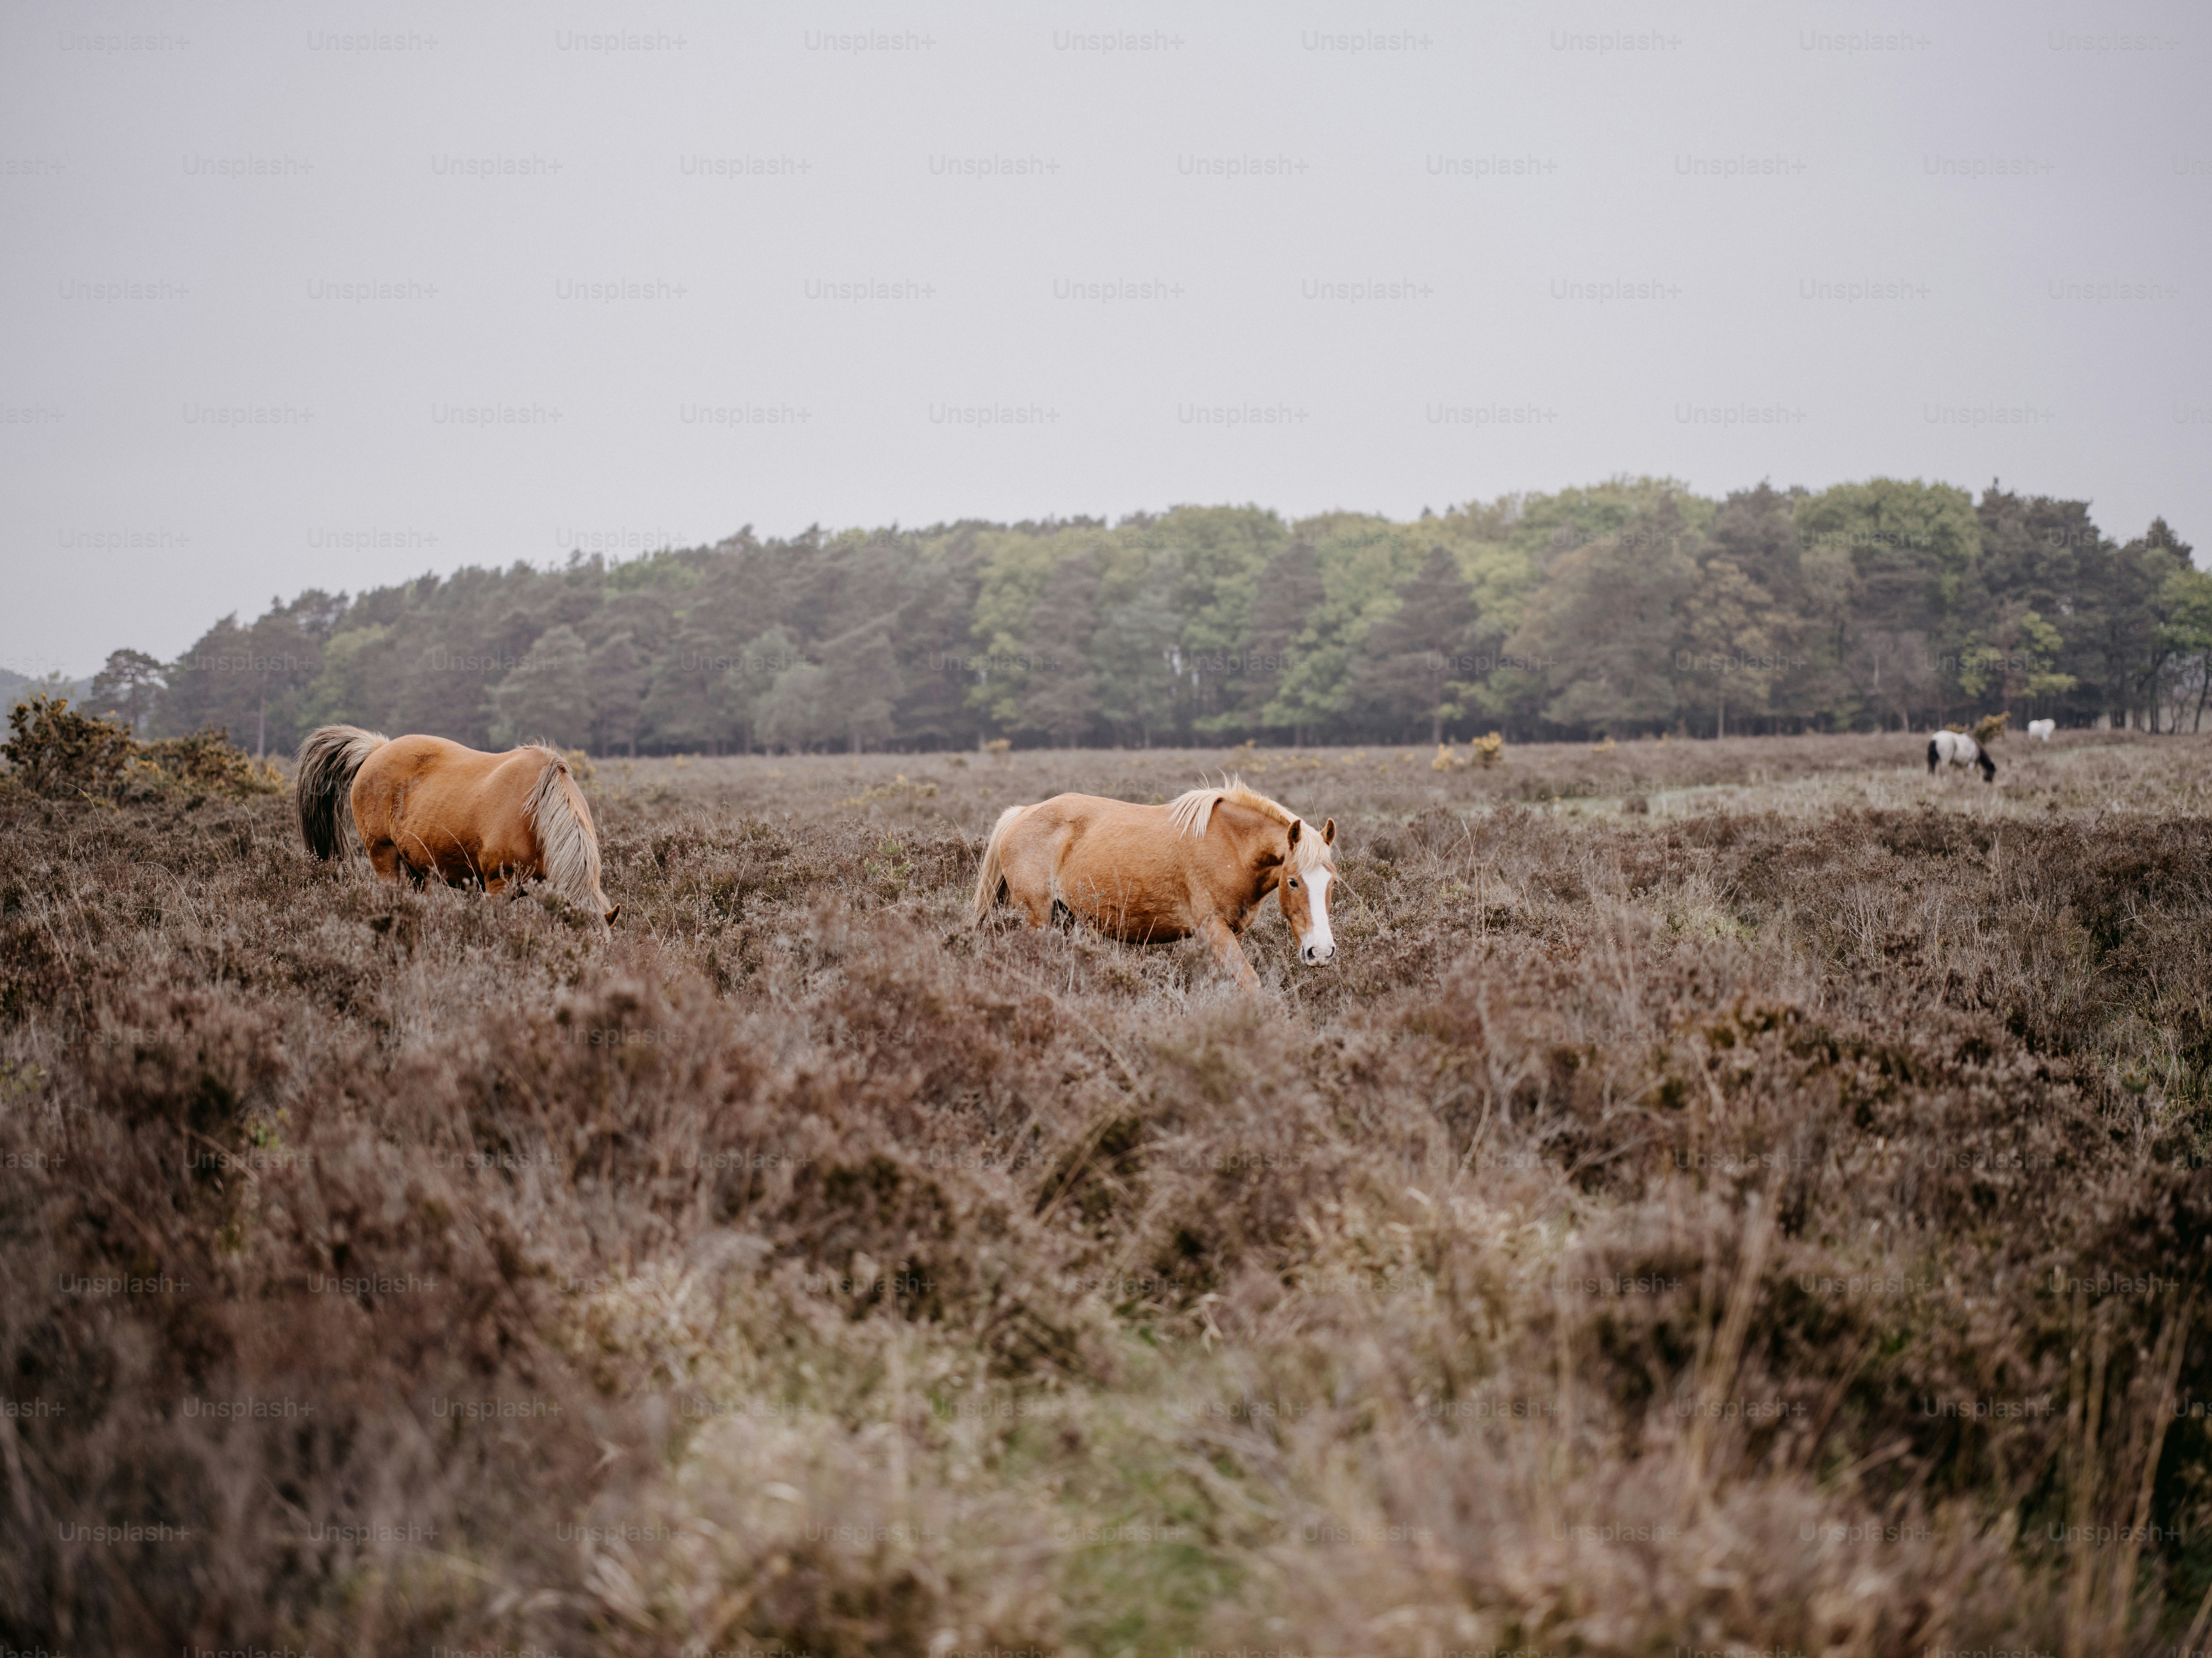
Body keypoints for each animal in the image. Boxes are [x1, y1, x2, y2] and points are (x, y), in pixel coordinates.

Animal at [970, 779, 1337, 992]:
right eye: (1293, 881)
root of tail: (1022, 813)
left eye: (1332, 881)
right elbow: (1249, 981)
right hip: (1037, 917)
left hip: (1066, 918)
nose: (1320, 951)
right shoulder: (1213, 928)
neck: (1232, 844)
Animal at [1927, 729, 1997, 783]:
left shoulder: (1966, 765)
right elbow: (1968, 775)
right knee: (1942, 772)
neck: (1977, 747)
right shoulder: (1971, 763)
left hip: (1932, 760)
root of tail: (1935, 739)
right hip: (1945, 761)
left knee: (1931, 771)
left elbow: (1966, 775)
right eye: (1992, 772)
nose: (1991, 781)